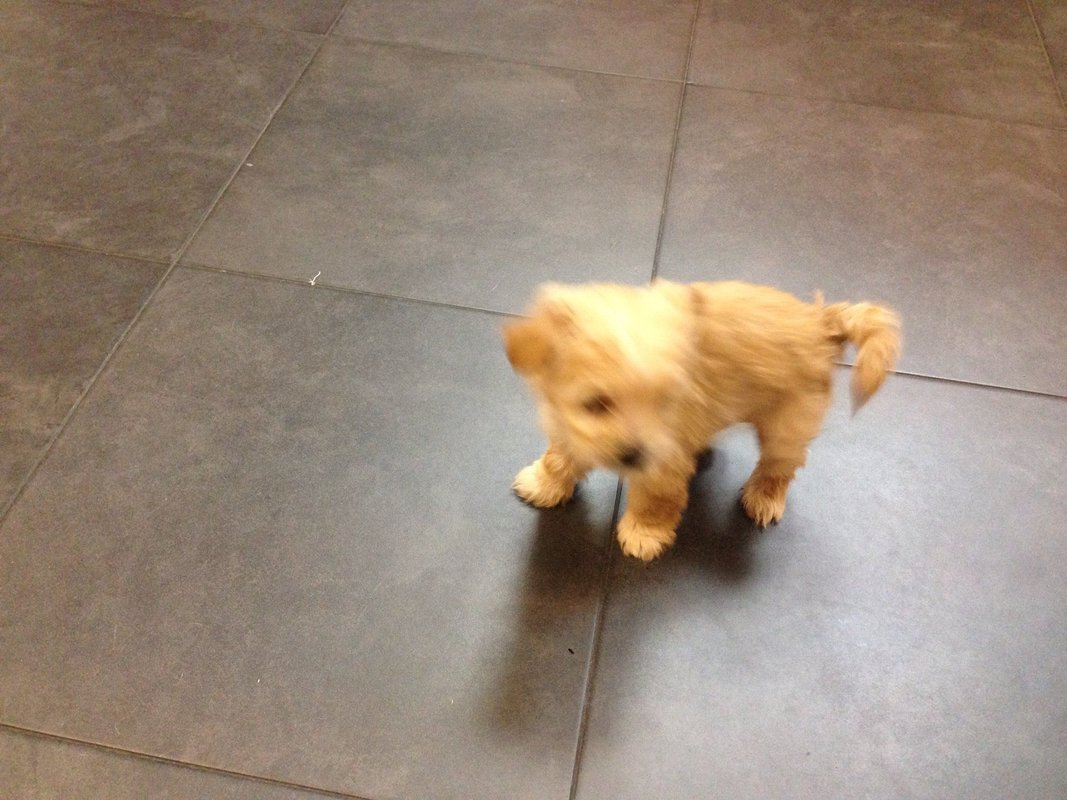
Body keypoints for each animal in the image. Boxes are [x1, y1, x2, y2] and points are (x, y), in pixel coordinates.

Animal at [503, 280, 900, 561]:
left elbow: (656, 498)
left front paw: (644, 533)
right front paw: (545, 482)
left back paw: (763, 496)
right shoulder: (569, 425)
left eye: (665, 403)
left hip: (788, 424)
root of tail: (821, 322)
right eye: (596, 404)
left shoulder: (666, 460)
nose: (634, 456)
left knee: (781, 464)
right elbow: (560, 455)